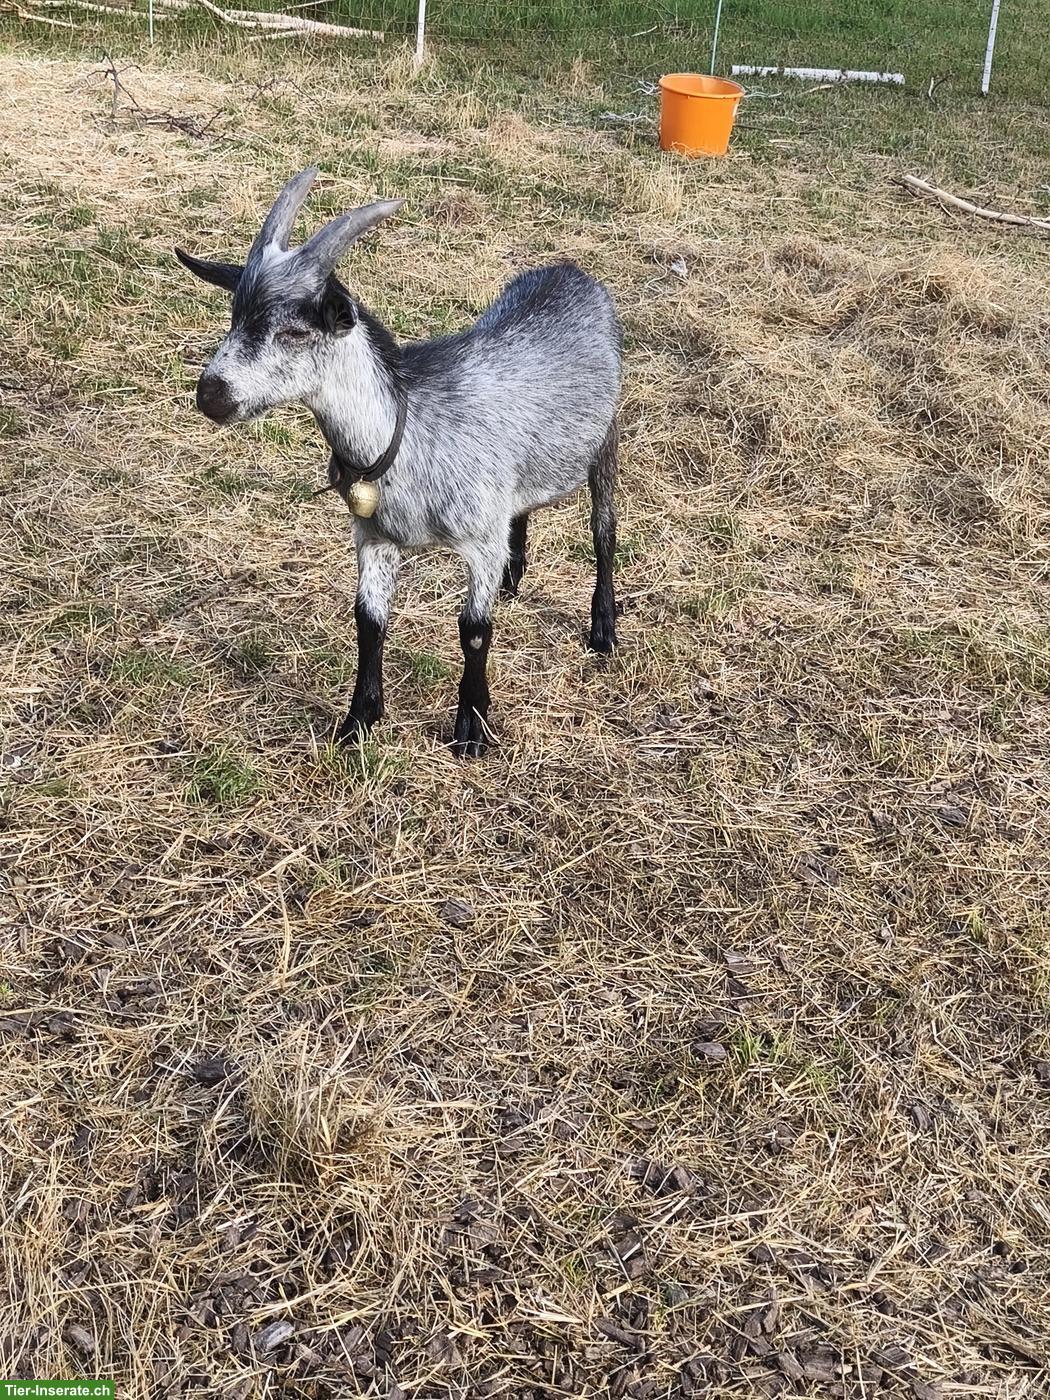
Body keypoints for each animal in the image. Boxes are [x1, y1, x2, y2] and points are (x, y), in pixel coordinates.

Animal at [176, 167, 621, 757]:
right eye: (234, 317)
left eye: (295, 332)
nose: (211, 394)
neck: (407, 433)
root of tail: (573, 272)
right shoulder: (374, 538)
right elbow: (368, 621)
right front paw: (359, 720)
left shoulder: (480, 538)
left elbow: (473, 629)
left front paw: (471, 729)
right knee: (523, 509)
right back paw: (514, 575)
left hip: (607, 437)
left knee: (604, 530)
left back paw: (603, 628)